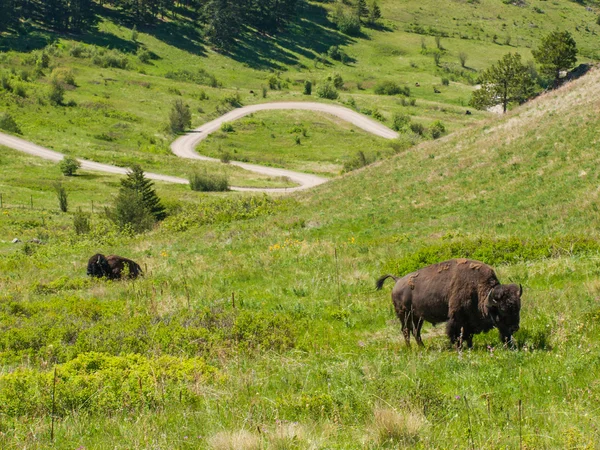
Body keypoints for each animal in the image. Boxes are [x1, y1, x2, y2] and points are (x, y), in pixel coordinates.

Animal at [378, 256, 524, 348]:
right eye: (502, 310)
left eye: (518, 308)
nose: (515, 328)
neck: (478, 288)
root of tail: (398, 281)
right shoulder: (457, 318)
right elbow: (457, 334)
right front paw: (459, 348)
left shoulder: (469, 321)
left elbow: (468, 335)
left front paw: (470, 346)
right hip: (404, 315)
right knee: (406, 331)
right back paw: (410, 349)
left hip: (417, 317)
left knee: (415, 332)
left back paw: (422, 347)